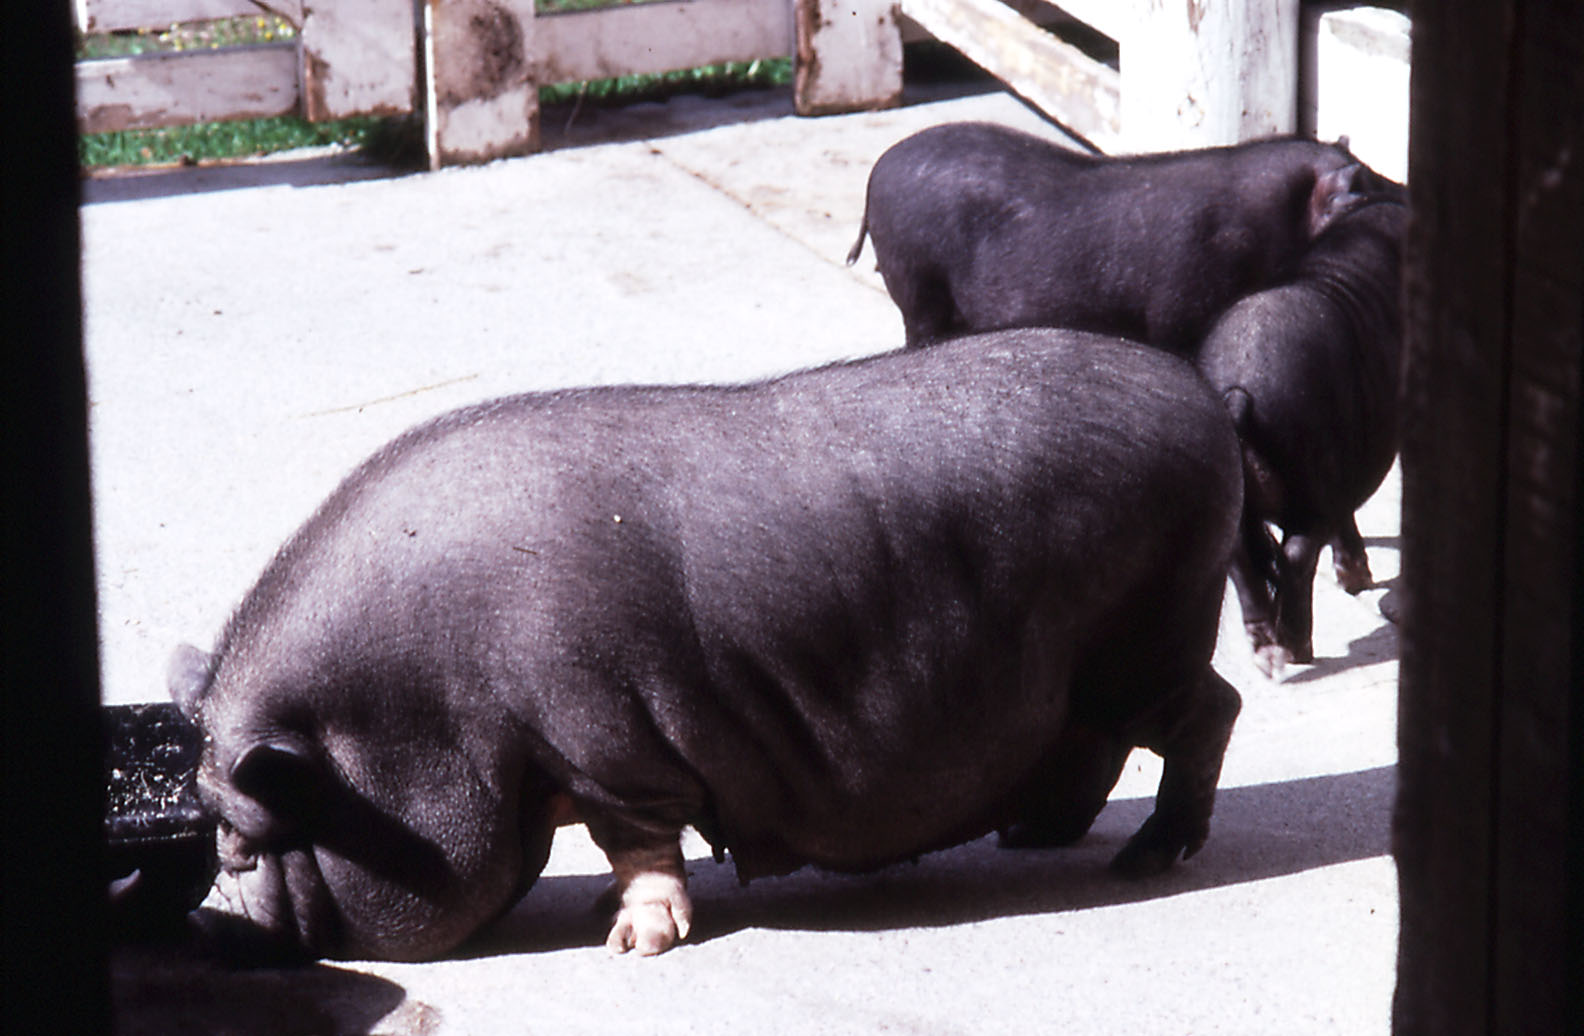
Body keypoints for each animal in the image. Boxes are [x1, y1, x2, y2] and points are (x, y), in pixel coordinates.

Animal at [170, 327, 1244, 963]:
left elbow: (638, 840)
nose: (208, 915)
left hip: (1150, 637)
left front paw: (631, 944)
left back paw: (1147, 860)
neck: (436, 702)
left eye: (241, 836)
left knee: (1207, 713)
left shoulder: (605, 738)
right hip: (1097, 665)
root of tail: (1206, 399)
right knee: (1102, 744)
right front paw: (605, 921)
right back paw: (1037, 837)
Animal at [1197, 198, 1407, 676]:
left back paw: (1267, 655)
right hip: (1312, 475)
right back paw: (1297, 650)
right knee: (1297, 552)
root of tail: (1237, 394)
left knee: (1242, 556)